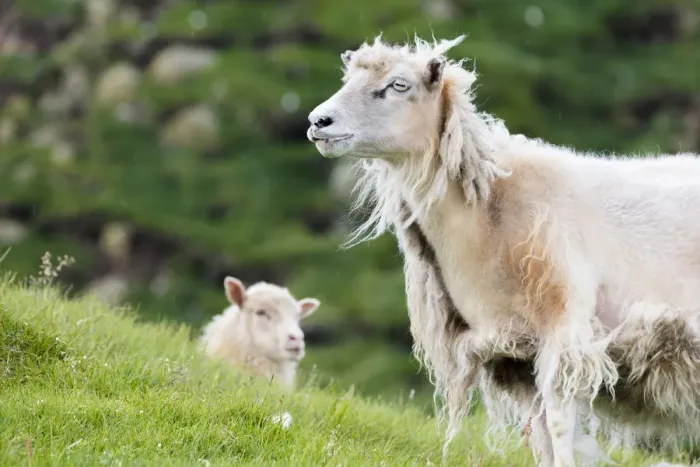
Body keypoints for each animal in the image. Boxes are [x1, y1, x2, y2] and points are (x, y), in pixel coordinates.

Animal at [306, 34, 700, 466]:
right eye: (348, 79)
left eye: (398, 85)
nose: (318, 122)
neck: (489, 213)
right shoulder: (515, 354)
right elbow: (540, 433)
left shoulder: (564, 331)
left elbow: (559, 425)